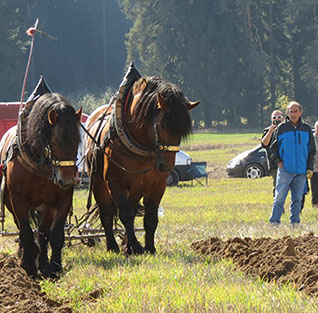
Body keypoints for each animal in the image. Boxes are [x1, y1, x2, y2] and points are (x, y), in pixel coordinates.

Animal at [0, 92, 82, 276]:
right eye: (54, 142)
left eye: (77, 142)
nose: (66, 180)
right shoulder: (18, 199)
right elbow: (25, 232)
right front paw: (28, 266)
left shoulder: (61, 200)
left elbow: (55, 234)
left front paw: (54, 268)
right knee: (21, 228)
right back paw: (25, 255)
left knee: (43, 232)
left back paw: (42, 262)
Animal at [84, 74, 199, 255]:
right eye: (163, 125)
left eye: (183, 130)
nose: (166, 165)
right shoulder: (115, 183)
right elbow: (124, 215)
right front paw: (135, 246)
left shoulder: (157, 185)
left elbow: (150, 217)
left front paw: (149, 248)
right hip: (98, 183)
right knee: (107, 214)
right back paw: (113, 246)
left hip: (135, 189)